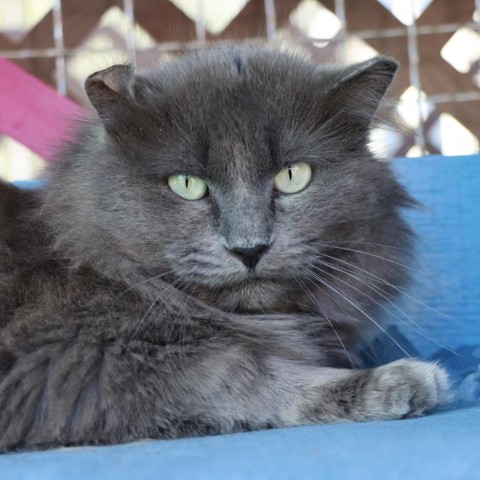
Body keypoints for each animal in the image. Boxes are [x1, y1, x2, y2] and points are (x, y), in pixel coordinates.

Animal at [0, 47, 450, 452]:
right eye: (186, 184)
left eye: (293, 176)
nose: (249, 248)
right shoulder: (78, 361)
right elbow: (247, 374)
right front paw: (401, 381)